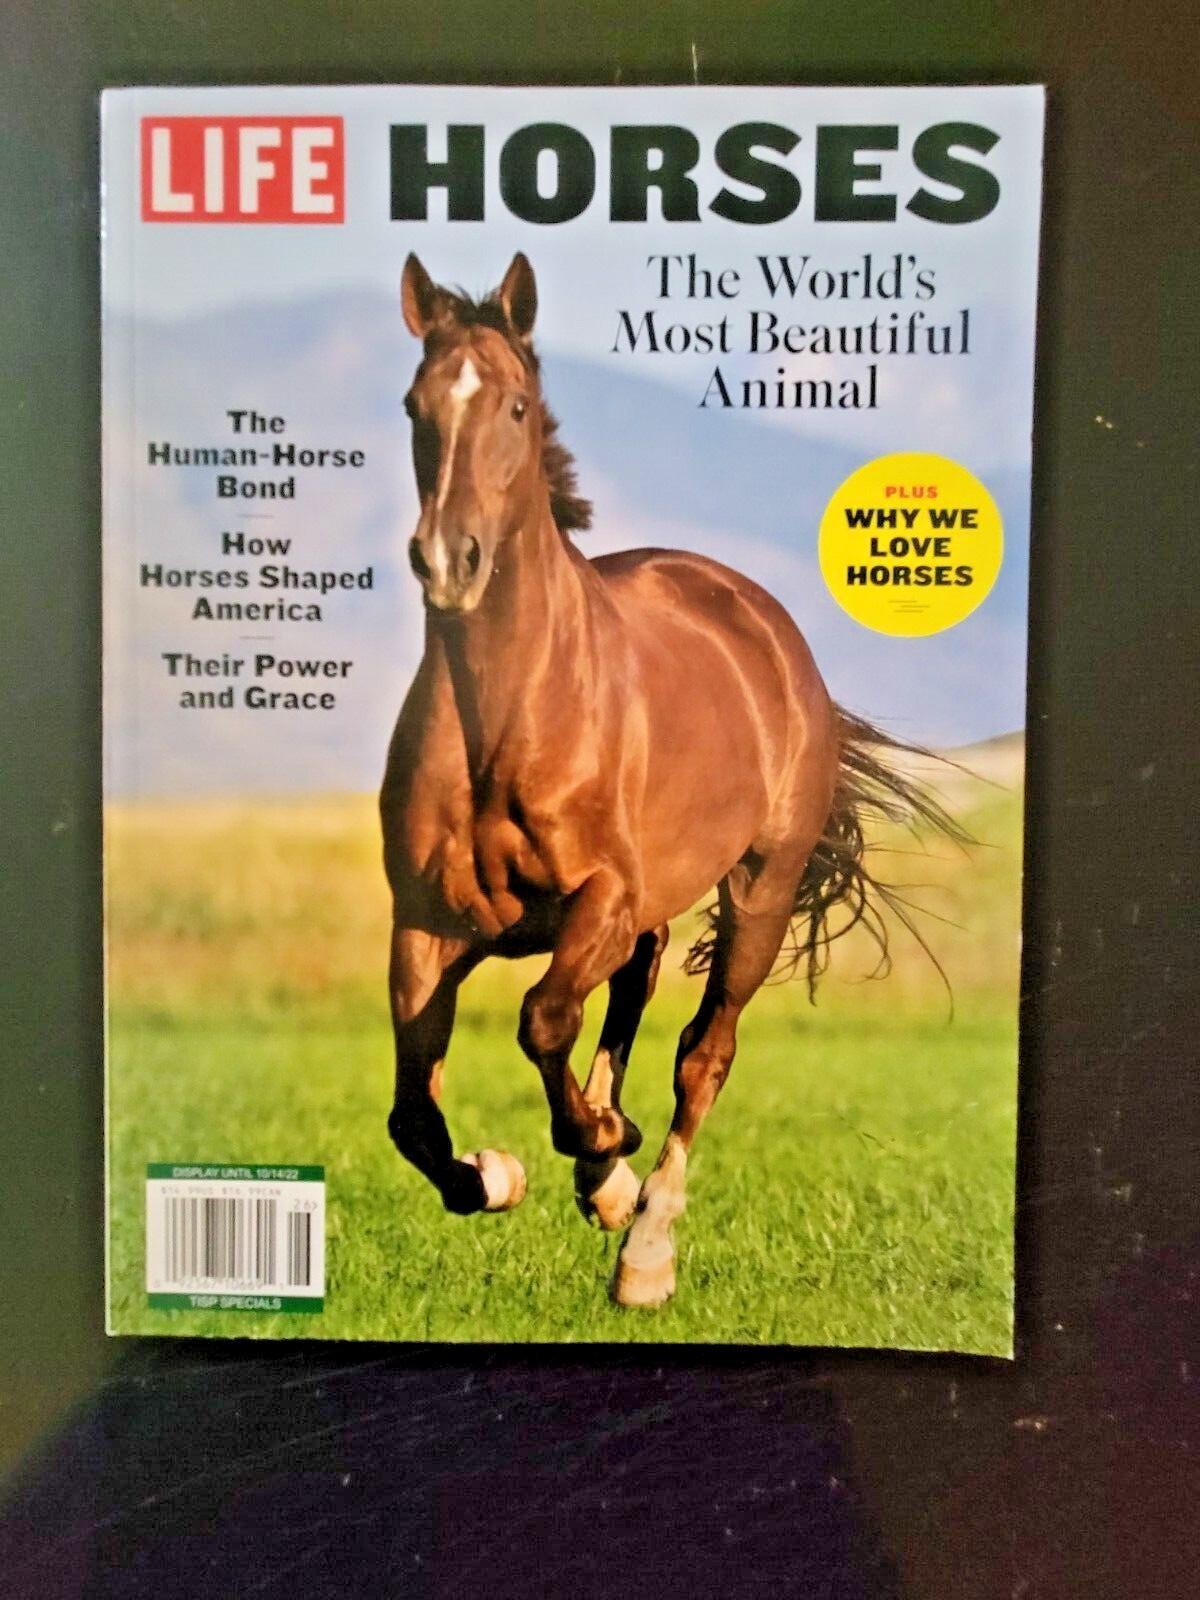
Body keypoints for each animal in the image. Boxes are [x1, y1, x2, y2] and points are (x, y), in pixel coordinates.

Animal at [380, 252, 960, 1308]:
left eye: (516, 405)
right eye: (415, 404)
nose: (449, 560)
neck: (508, 717)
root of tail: (765, 623)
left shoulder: (600, 899)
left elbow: (543, 1020)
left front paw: (606, 1161)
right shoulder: (427, 926)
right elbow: (415, 1115)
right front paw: (505, 1173)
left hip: (758, 893)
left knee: (703, 1051)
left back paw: (644, 1243)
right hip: (641, 917)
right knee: (630, 1005)